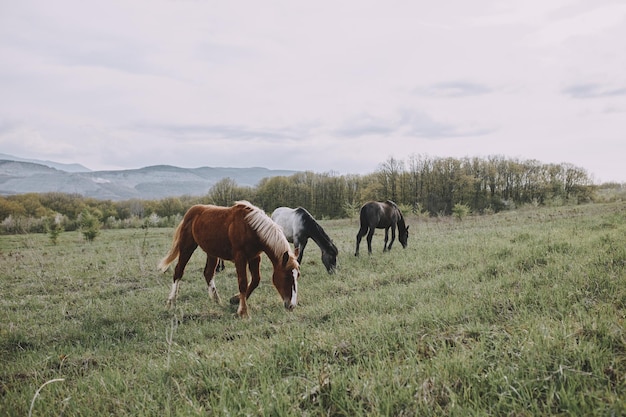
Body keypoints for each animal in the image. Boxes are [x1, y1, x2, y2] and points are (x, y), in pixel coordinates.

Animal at [158, 200, 300, 316]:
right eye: (287, 276)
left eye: (297, 275)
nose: (292, 305)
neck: (251, 227)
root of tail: (191, 211)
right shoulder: (240, 257)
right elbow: (243, 282)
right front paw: (243, 312)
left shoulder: (254, 257)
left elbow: (255, 280)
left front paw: (235, 300)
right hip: (187, 247)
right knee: (178, 271)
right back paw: (171, 302)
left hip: (212, 253)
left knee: (208, 273)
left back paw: (217, 301)